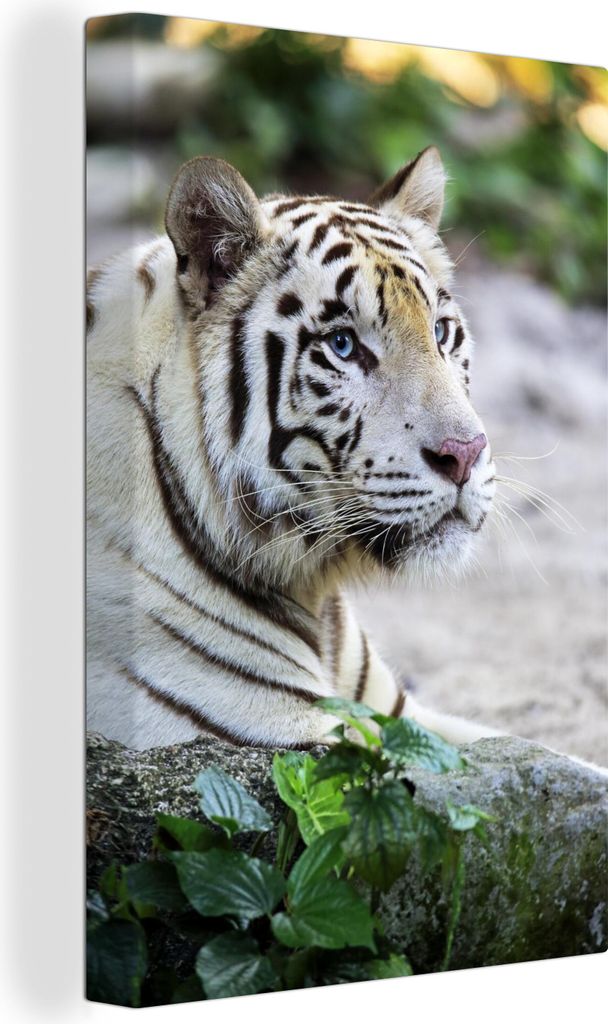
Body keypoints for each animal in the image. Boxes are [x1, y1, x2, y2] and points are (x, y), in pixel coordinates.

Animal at [86, 146, 507, 752]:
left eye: (441, 332)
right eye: (343, 345)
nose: (466, 454)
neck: (313, 585)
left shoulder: (400, 717)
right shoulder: (285, 739)